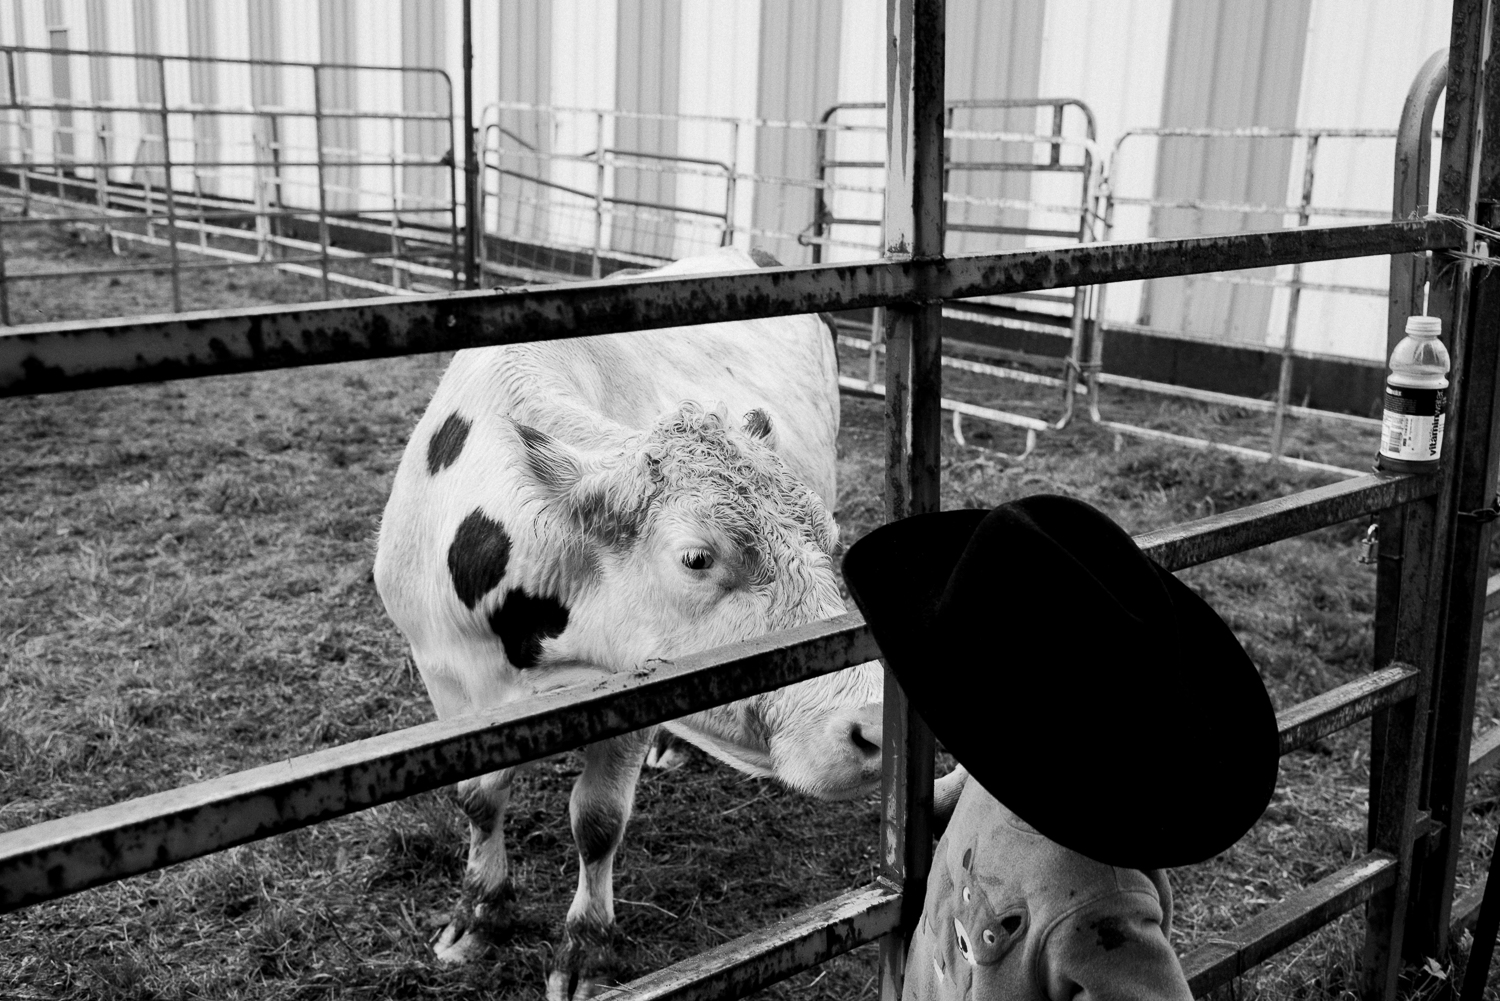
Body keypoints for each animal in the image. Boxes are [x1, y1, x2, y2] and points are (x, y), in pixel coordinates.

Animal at [375, 246, 882, 996]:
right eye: (697, 556)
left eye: (829, 536)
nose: (876, 724)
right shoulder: (445, 674)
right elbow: (478, 797)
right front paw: (478, 914)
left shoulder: (632, 694)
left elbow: (598, 820)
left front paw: (585, 951)